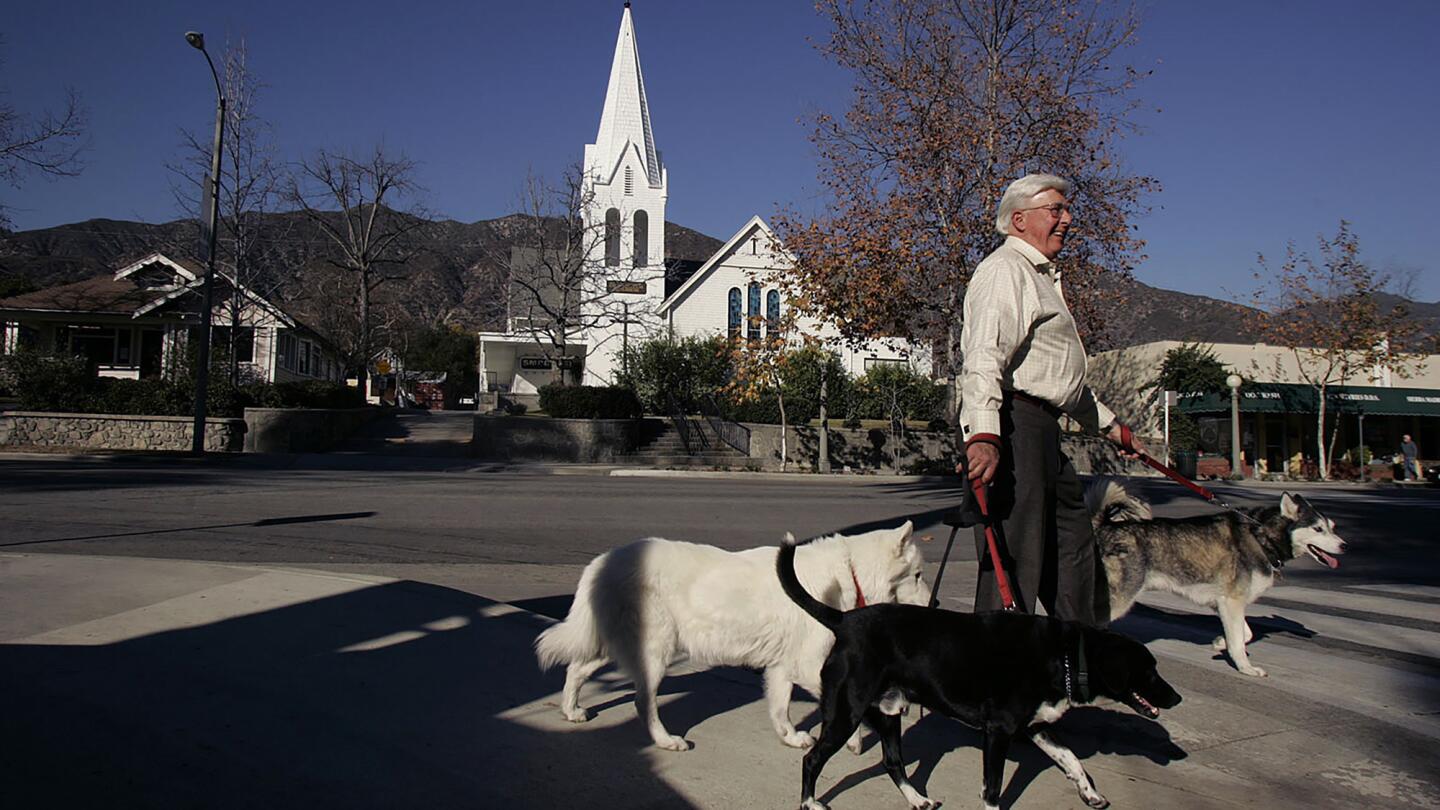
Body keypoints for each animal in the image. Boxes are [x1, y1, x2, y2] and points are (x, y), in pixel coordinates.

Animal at [535, 518, 927, 749]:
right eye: (920, 574)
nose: (935, 599)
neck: (852, 571)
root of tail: (602, 560)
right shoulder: (809, 665)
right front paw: (857, 739)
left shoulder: (783, 668)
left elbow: (780, 709)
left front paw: (790, 737)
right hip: (655, 653)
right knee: (642, 702)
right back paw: (665, 740)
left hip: (612, 643)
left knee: (577, 669)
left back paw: (571, 710)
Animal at [777, 533, 1180, 801]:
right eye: (1149, 669)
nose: (1176, 698)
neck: (1062, 653)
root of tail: (845, 620)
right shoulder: (998, 732)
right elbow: (993, 788)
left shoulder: (1036, 727)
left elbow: (1072, 760)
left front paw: (1089, 792)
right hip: (846, 713)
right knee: (812, 759)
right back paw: (810, 802)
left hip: (888, 713)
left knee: (893, 763)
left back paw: (918, 800)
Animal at [1094, 478, 1342, 674]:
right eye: (1318, 529)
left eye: (1332, 527)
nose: (1344, 545)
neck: (1260, 535)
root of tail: (1105, 526)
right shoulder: (1232, 602)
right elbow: (1239, 643)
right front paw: (1246, 668)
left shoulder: (1224, 602)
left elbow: (1245, 633)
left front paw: (1221, 643)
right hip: (1120, 599)